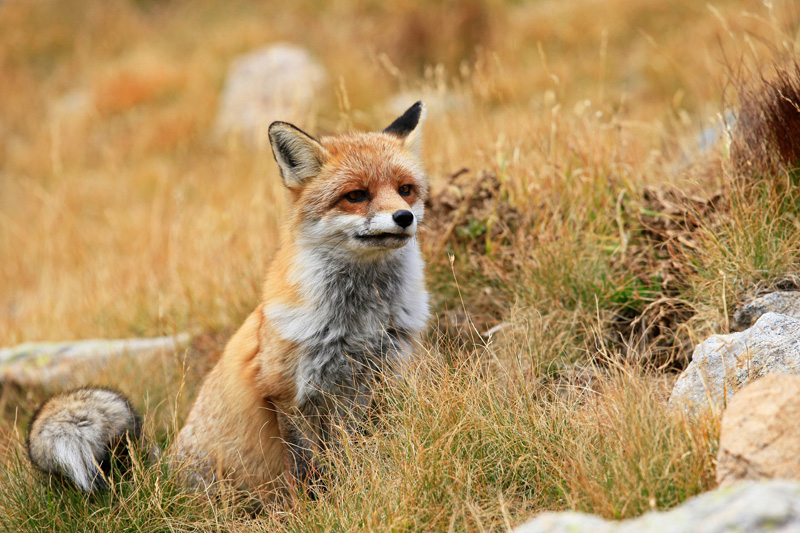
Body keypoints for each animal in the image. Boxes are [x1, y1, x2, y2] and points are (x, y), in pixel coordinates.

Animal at [26, 101, 431, 499]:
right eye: (356, 195)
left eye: (405, 189)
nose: (404, 216)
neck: (361, 320)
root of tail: (163, 472)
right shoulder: (288, 393)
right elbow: (309, 469)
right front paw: (318, 505)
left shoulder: (382, 378)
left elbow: (364, 449)